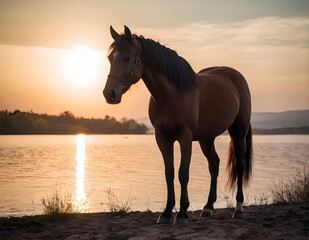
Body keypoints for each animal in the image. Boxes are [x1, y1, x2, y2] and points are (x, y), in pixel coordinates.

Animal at [102, 26, 251, 225]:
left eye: (126, 57)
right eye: (110, 58)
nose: (109, 93)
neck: (171, 95)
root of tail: (236, 77)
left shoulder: (185, 137)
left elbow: (183, 173)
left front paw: (182, 213)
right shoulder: (162, 137)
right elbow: (169, 173)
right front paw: (166, 212)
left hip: (238, 132)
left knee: (240, 165)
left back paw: (239, 208)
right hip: (206, 138)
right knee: (214, 165)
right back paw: (208, 207)